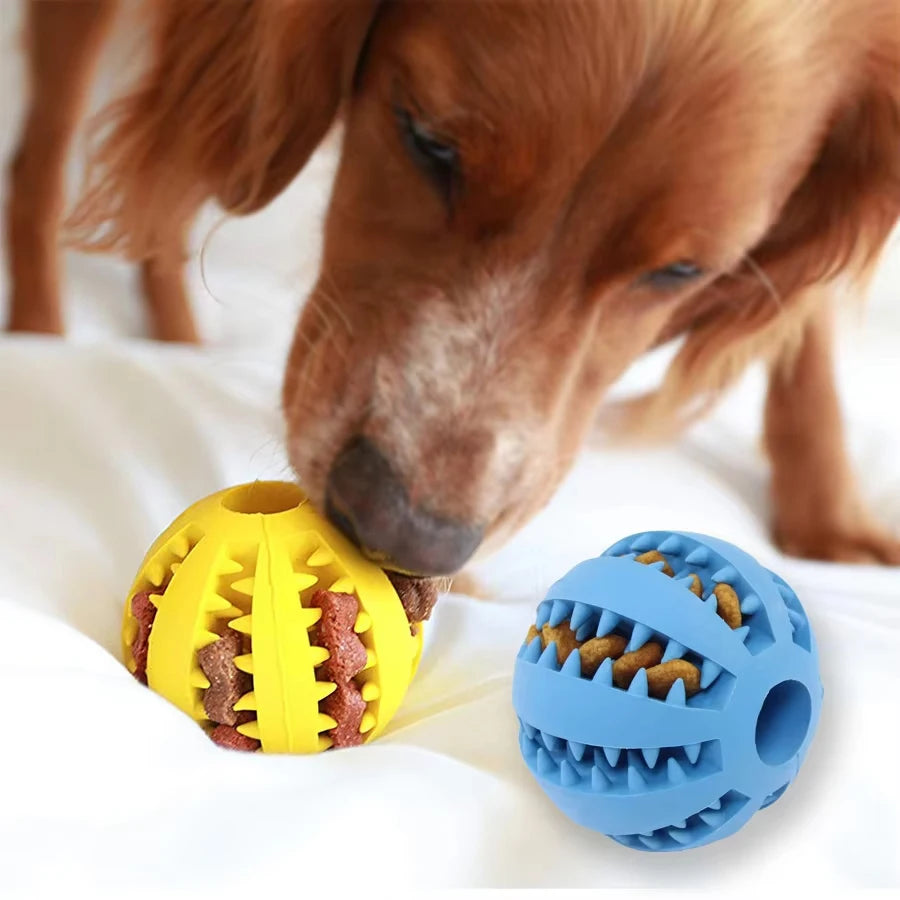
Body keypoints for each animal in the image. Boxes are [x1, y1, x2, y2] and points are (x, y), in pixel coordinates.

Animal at [7, 0, 900, 576]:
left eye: (682, 272)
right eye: (426, 141)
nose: (405, 537)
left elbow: (802, 325)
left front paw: (831, 518)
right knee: (44, 160)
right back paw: (41, 335)